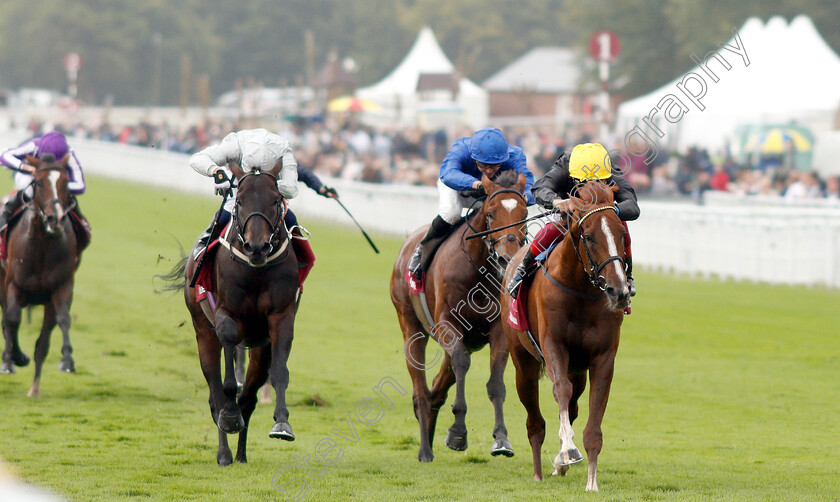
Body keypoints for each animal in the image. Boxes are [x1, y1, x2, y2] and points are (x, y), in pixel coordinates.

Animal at [0, 153, 81, 396]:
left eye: (66, 183)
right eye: (38, 182)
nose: (55, 219)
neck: (43, 244)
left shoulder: (61, 287)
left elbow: (63, 320)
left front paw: (67, 361)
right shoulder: (13, 284)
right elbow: (12, 320)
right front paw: (14, 358)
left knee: (42, 342)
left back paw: (34, 388)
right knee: (7, 321)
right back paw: (10, 360)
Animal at [159, 159, 300, 464]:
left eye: (275, 200)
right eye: (241, 200)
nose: (257, 246)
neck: (256, 270)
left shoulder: (281, 317)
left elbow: (279, 372)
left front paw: (282, 423)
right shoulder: (226, 315)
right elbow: (226, 386)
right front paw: (230, 416)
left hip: (259, 348)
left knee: (249, 399)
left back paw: (241, 455)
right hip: (202, 330)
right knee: (216, 396)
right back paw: (224, 452)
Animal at [390, 173, 528, 462]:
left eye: (523, 213)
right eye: (490, 213)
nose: (506, 258)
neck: (478, 272)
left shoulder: (497, 331)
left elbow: (496, 382)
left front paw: (501, 439)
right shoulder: (447, 323)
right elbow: (462, 364)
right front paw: (457, 433)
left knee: (439, 384)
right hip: (411, 326)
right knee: (421, 388)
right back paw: (424, 449)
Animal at [498, 180, 632, 490]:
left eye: (622, 234)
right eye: (589, 236)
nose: (619, 291)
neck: (580, 290)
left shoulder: (602, 357)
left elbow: (593, 417)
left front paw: (591, 481)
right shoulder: (553, 346)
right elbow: (560, 390)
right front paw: (568, 450)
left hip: (577, 369)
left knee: (572, 407)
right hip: (523, 362)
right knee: (534, 422)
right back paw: (539, 471)